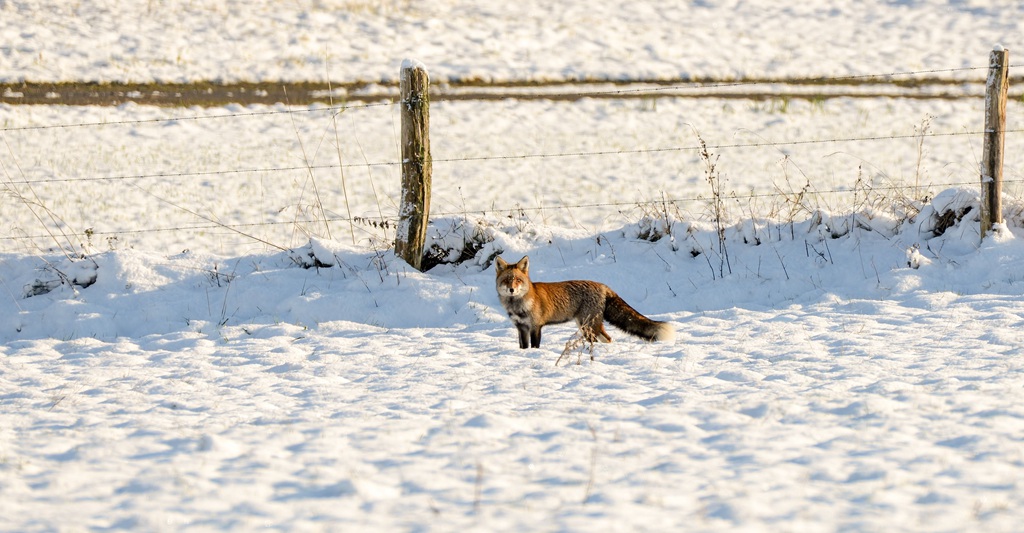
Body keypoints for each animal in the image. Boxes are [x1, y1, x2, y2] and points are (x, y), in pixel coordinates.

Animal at [493, 254, 675, 349]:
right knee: (608, 339)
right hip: (589, 326)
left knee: (602, 340)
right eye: (507, 280)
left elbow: (535, 346)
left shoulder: (535, 326)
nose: (511, 290)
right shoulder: (521, 328)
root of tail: (603, 285)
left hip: (587, 326)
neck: (517, 306)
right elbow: (523, 347)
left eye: (517, 280)